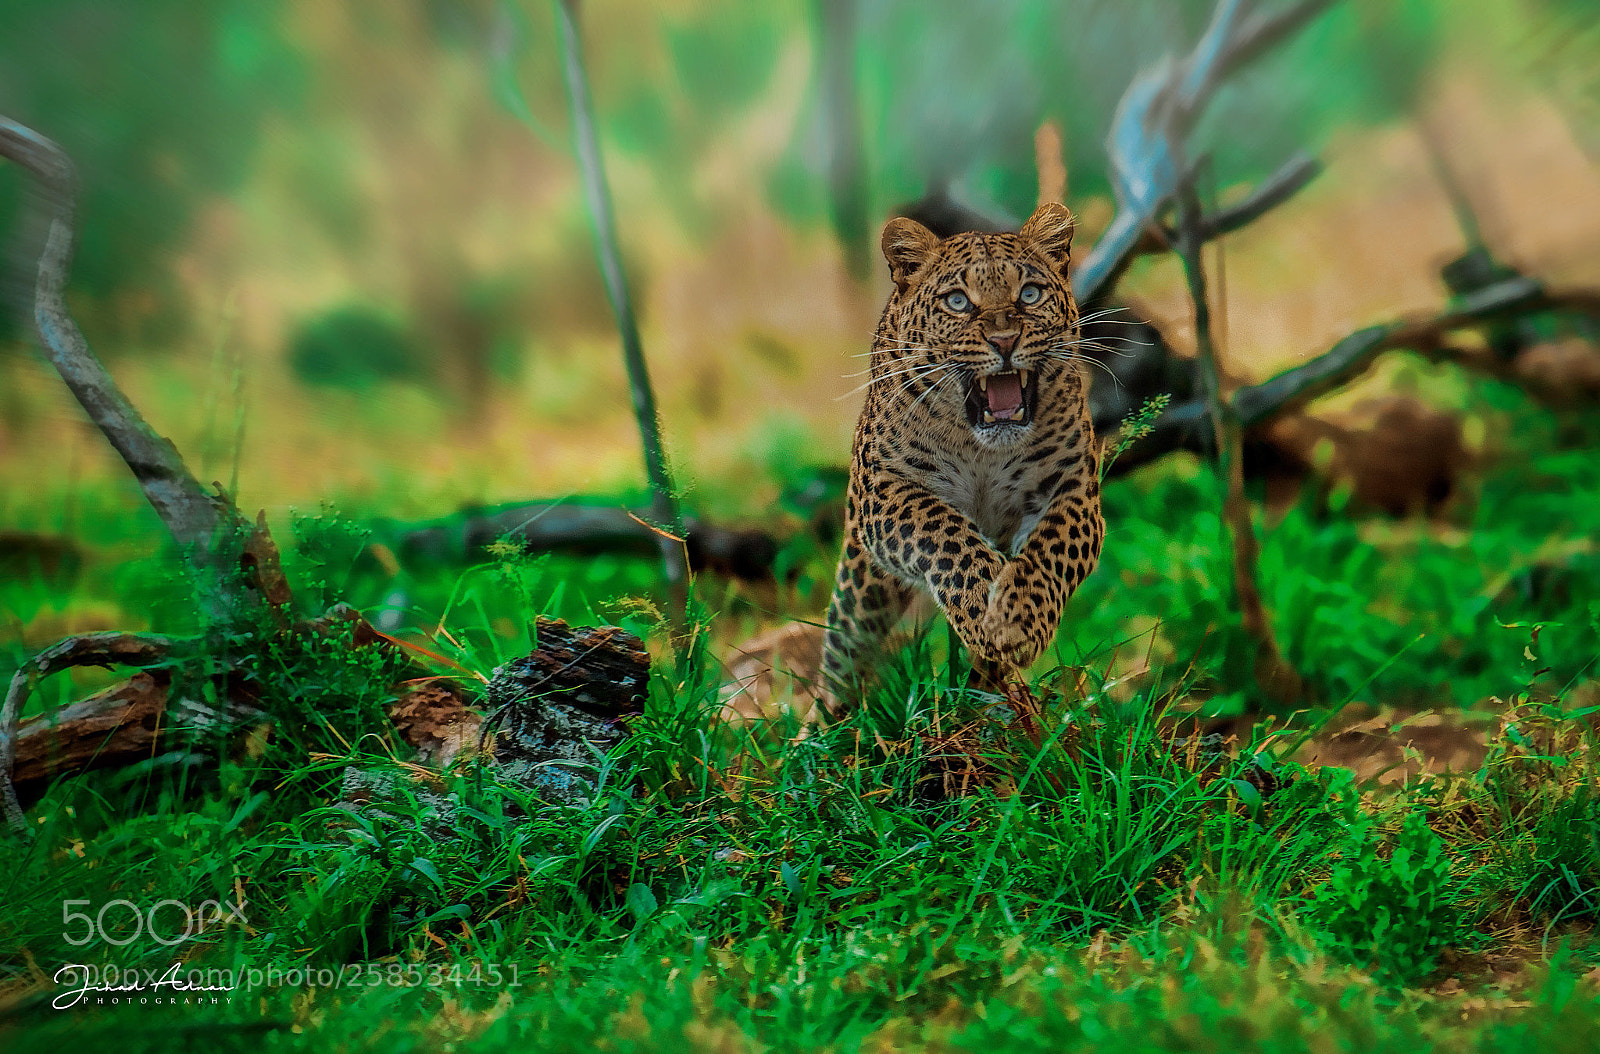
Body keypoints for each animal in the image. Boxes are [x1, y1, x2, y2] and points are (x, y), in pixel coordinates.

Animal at [821, 201, 1104, 711]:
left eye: (1029, 294)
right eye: (958, 301)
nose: (1005, 341)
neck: (982, 448)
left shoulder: (1073, 493)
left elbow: (1049, 552)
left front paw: (1016, 620)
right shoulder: (887, 490)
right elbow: (943, 533)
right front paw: (982, 606)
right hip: (862, 583)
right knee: (846, 649)